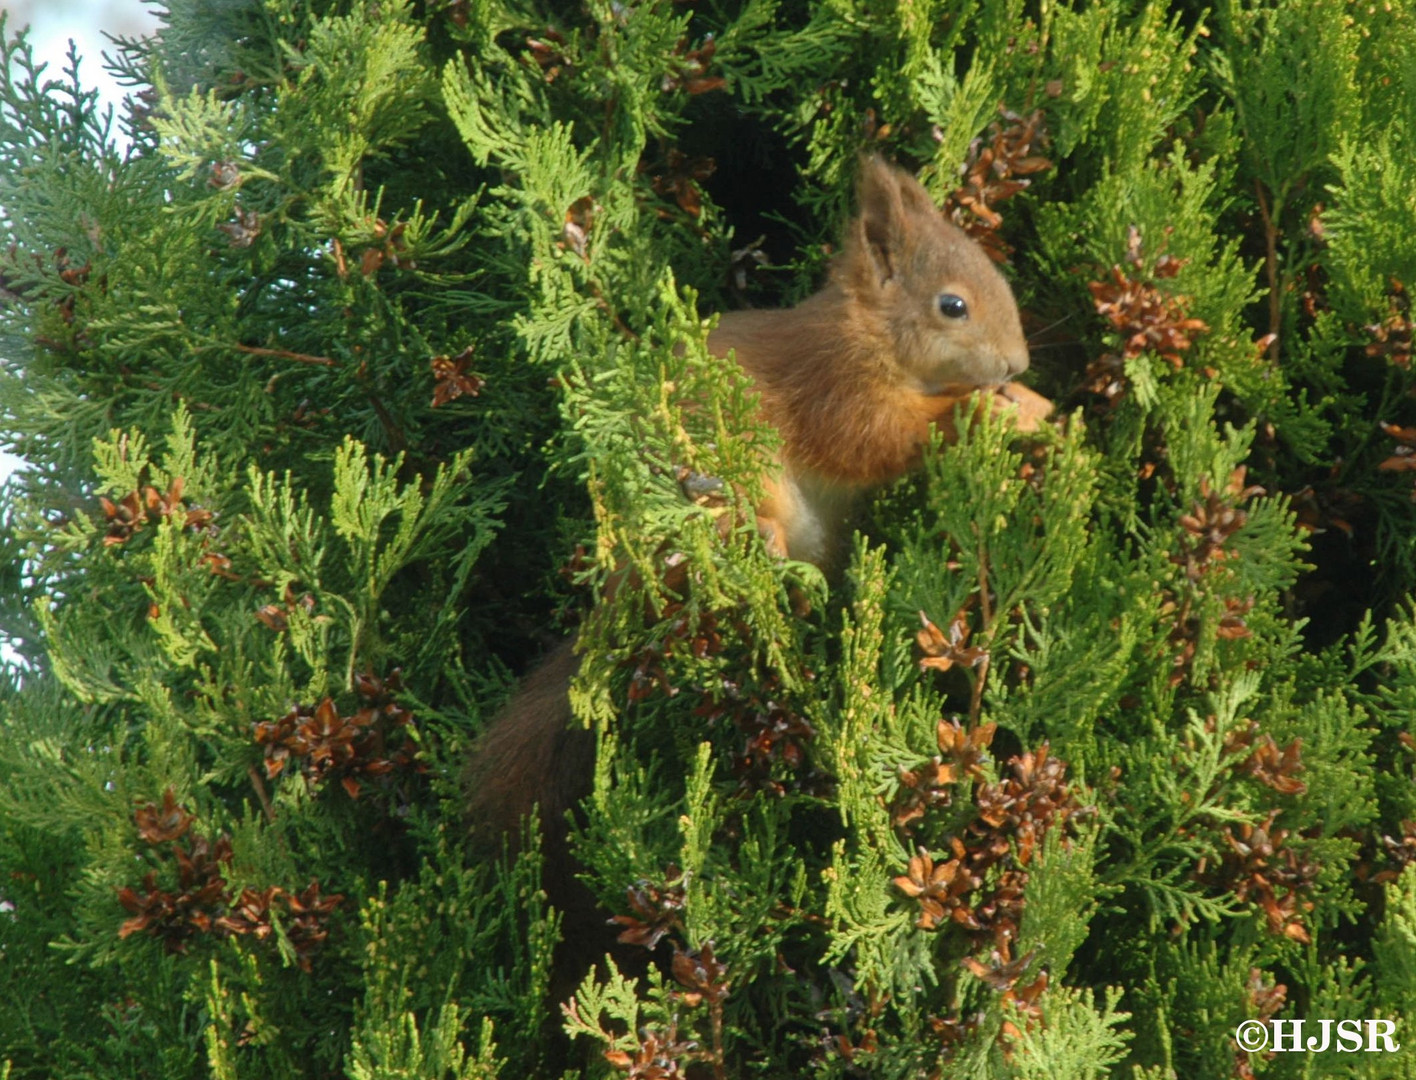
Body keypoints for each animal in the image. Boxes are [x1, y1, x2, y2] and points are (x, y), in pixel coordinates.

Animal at [467, 154, 1053, 877]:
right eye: (954, 306)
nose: (1016, 362)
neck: (869, 332)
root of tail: (622, 585)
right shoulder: (836, 389)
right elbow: (875, 442)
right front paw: (978, 409)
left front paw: (1029, 403)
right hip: (737, 464)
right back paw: (755, 534)